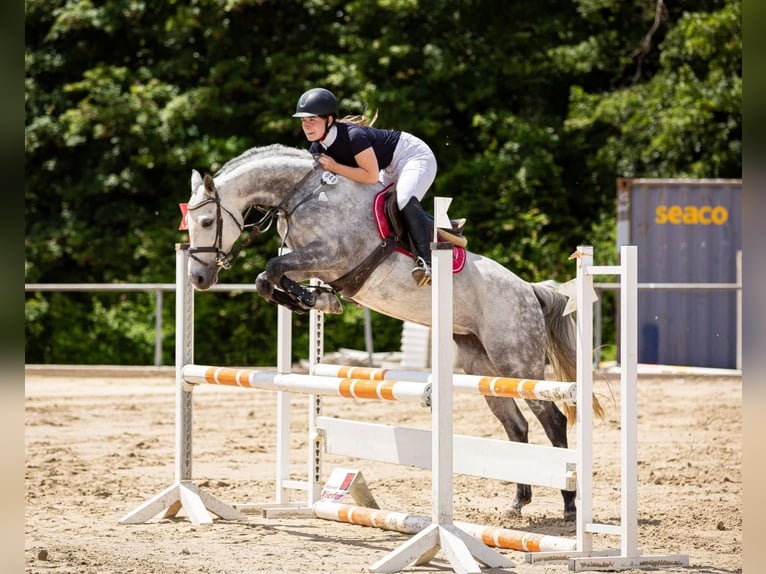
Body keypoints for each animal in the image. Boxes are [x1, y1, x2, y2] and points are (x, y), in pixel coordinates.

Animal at [183, 143, 604, 520]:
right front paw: (315, 300)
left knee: (553, 420)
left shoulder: (333, 255)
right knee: (516, 425)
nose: (198, 279)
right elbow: (267, 278)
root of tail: (529, 290)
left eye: (207, 223)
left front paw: (314, 299)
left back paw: (569, 507)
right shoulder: (310, 260)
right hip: (480, 366)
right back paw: (518, 503)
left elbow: (271, 269)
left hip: (516, 361)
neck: (302, 195)